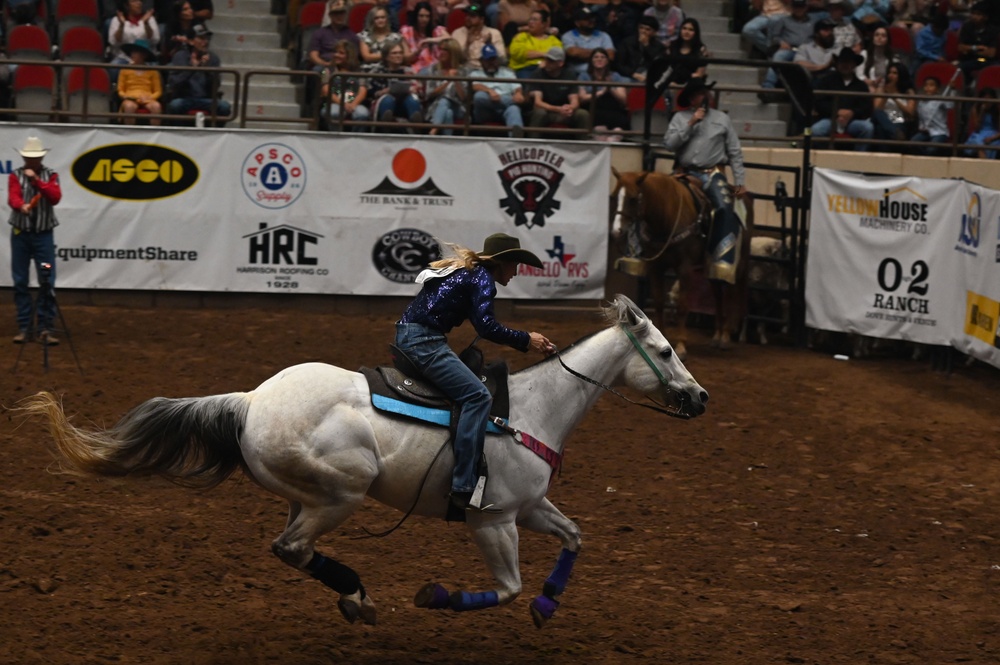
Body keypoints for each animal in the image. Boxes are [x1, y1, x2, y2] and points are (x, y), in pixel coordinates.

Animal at [25, 294, 712, 628]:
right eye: (665, 350)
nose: (701, 397)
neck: (532, 409)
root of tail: (249, 401)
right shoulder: (494, 520)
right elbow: (506, 587)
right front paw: (437, 597)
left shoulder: (531, 506)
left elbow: (575, 537)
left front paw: (547, 606)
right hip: (342, 493)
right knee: (291, 549)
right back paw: (359, 597)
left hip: (307, 495)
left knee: (290, 547)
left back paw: (356, 600)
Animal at [604, 169, 752, 360]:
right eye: (615, 195)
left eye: (633, 198)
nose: (616, 231)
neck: (668, 217)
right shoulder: (656, 268)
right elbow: (659, 303)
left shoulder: (685, 269)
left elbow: (682, 305)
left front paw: (681, 345)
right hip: (710, 268)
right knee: (718, 295)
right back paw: (717, 336)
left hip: (736, 264)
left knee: (731, 294)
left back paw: (725, 336)